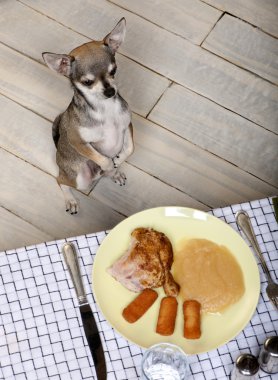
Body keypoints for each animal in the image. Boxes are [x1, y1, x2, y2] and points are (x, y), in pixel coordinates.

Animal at [42, 18, 135, 214]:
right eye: (87, 82)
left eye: (113, 71)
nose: (110, 91)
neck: (105, 108)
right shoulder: (78, 141)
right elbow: (101, 157)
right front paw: (109, 163)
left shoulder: (128, 125)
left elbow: (130, 148)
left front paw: (118, 159)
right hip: (80, 179)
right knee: (60, 180)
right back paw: (71, 200)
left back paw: (115, 173)